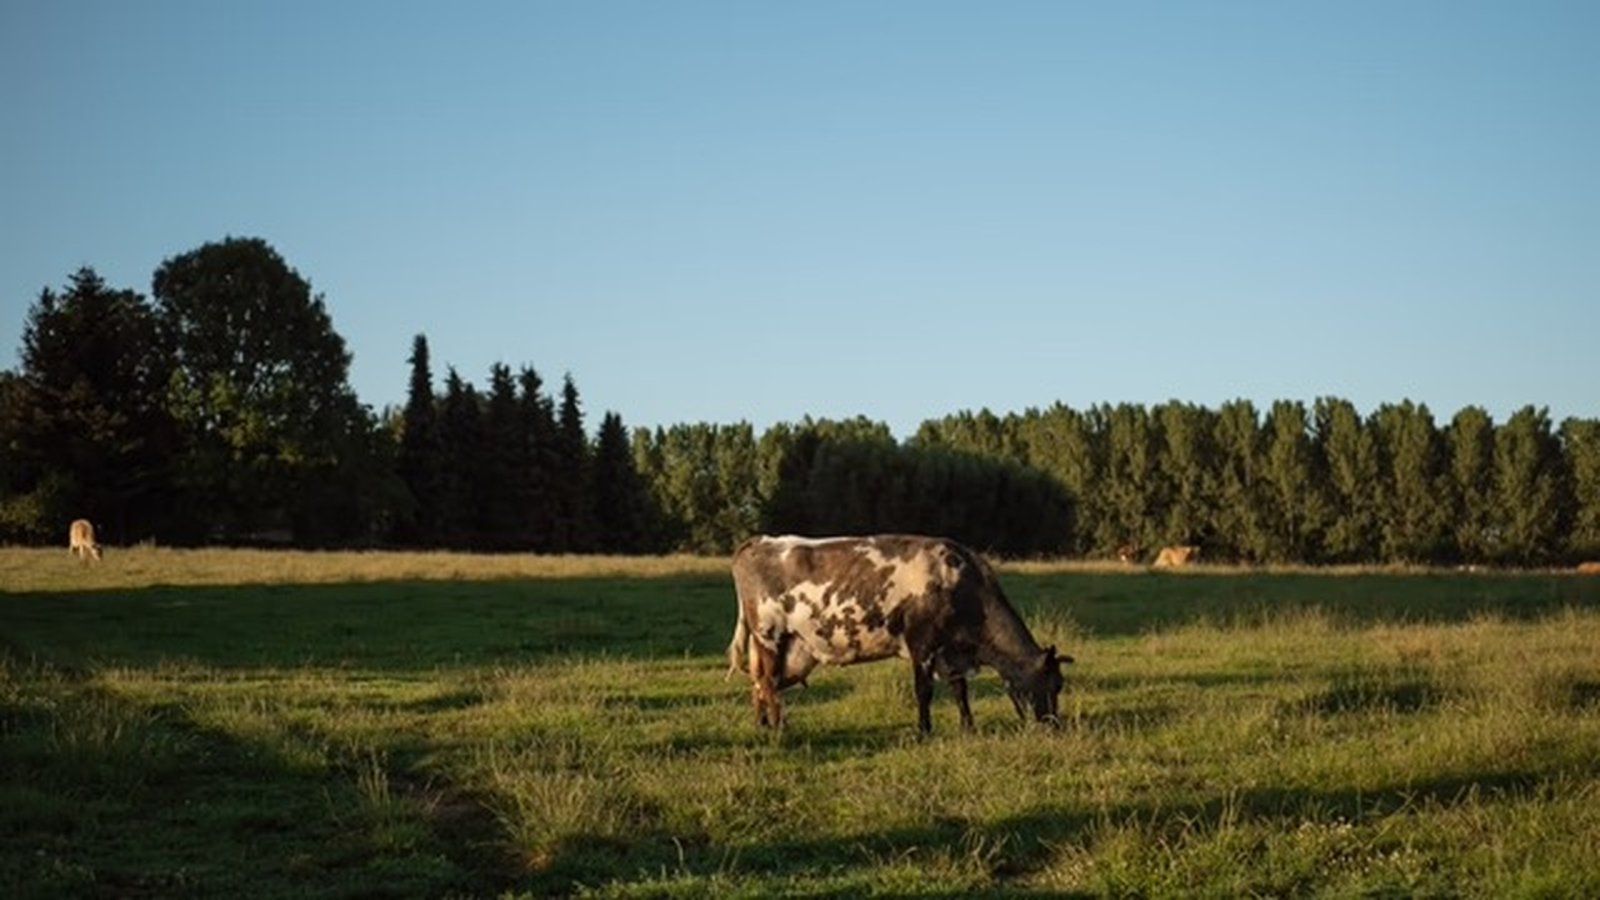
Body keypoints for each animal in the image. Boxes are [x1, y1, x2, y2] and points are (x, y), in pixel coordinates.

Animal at [727, 534, 1071, 734]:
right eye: (1053, 685)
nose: (1053, 727)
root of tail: (760, 541)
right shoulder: (923, 644)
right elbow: (924, 690)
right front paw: (924, 731)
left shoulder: (950, 652)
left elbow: (960, 691)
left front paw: (968, 728)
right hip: (769, 634)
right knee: (768, 683)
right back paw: (779, 728)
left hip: (783, 647)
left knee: (760, 681)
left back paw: (762, 725)